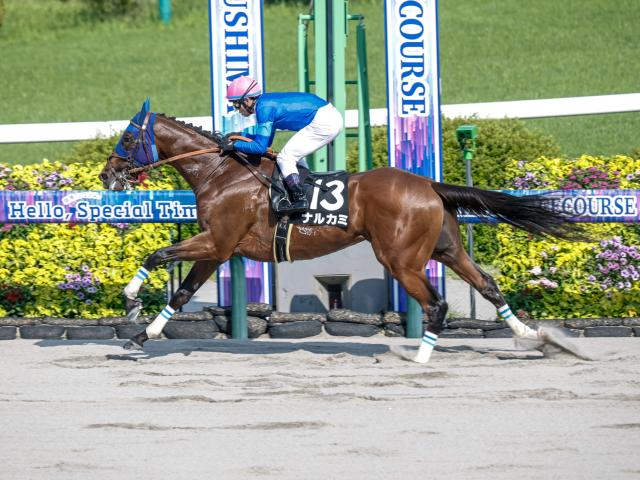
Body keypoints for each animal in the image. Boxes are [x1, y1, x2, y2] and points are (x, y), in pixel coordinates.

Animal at [99, 100, 588, 362]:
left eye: (128, 138)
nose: (106, 175)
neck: (221, 172)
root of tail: (428, 183)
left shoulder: (216, 241)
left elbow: (156, 256)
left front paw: (129, 299)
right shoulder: (220, 250)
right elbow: (182, 293)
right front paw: (143, 335)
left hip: (401, 258)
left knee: (437, 303)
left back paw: (420, 355)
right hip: (445, 248)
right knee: (486, 283)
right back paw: (532, 336)